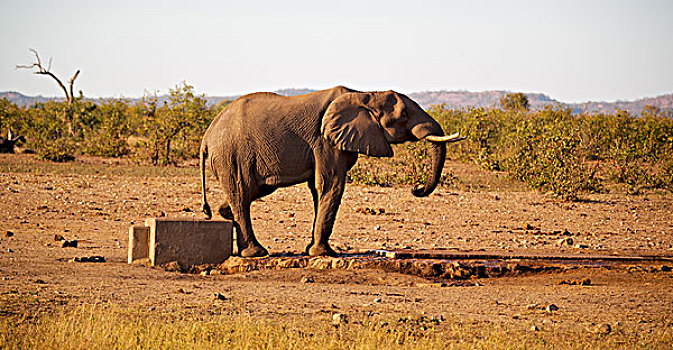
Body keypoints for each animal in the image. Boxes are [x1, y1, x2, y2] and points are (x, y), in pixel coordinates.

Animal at [200, 86, 462, 258]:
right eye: (404, 115)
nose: (416, 188)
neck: (365, 93)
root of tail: (206, 136)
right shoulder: (325, 142)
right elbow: (330, 184)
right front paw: (324, 253)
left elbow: (320, 189)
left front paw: (314, 251)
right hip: (231, 155)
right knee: (242, 193)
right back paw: (256, 253)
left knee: (248, 192)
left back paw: (227, 217)